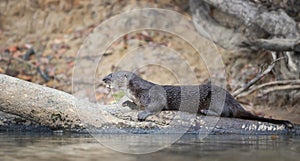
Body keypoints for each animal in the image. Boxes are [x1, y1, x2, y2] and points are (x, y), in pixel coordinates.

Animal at [102, 71, 292, 128]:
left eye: (111, 75)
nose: (103, 79)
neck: (135, 91)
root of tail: (234, 100)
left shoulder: (153, 94)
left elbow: (156, 105)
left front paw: (143, 114)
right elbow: (135, 104)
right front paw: (127, 102)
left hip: (216, 98)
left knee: (225, 112)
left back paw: (205, 110)